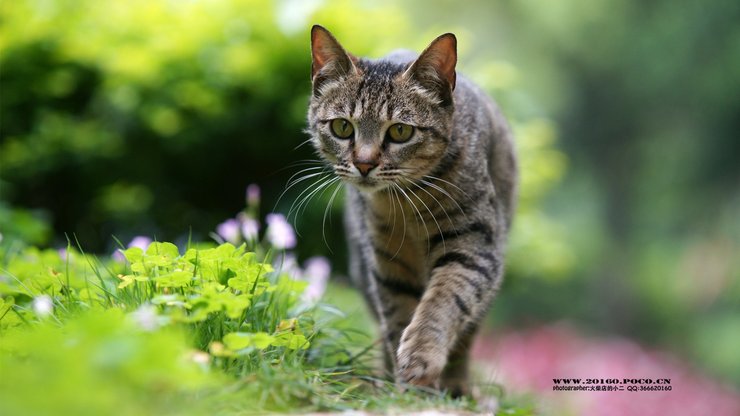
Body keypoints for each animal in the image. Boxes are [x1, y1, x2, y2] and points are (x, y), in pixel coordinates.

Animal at [304, 24, 516, 394]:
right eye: (342, 127)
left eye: (400, 131)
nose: (364, 164)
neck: (406, 204)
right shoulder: (388, 264)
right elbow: (397, 316)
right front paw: (406, 387)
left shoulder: (476, 245)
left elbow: (445, 298)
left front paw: (421, 356)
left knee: (466, 335)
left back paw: (457, 387)